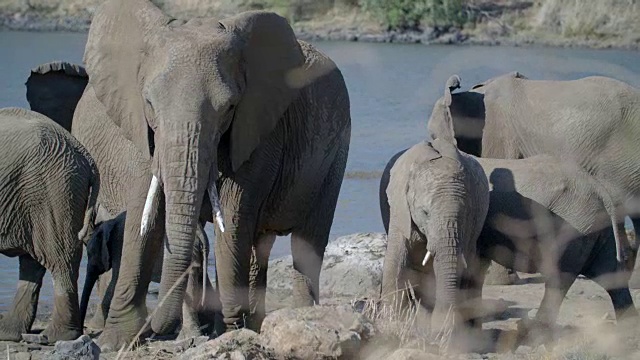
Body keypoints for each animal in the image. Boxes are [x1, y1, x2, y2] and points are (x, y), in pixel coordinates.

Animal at [0, 107, 99, 344]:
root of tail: (86, 155)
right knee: (33, 261)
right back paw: (8, 334)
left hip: (52, 189)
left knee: (60, 258)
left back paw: (57, 336)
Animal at [80, 211, 221, 338]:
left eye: (90, 253)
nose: (83, 331)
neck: (109, 223)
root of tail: (202, 236)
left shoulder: (119, 248)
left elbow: (115, 281)